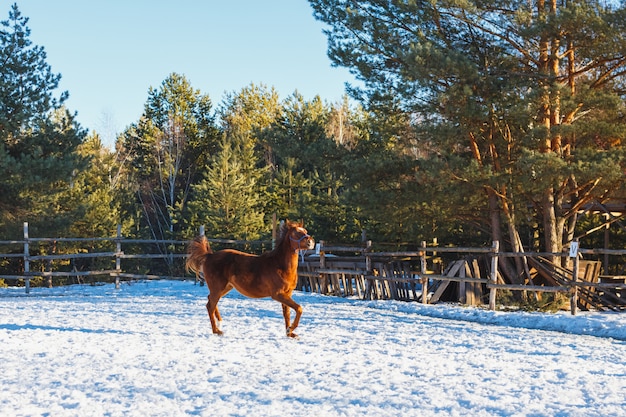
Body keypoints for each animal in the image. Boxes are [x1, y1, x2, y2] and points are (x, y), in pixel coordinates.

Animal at [184, 219, 312, 336]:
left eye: (305, 231)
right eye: (296, 233)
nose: (310, 241)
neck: (280, 265)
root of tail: (209, 256)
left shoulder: (287, 294)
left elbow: (287, 313)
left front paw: (289, 333)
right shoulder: (278, 294)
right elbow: (299, 308)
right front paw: (290, 329)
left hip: (225, 287)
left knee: (210, 301)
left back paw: (220, 322)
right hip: (217, 288)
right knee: (210, 305)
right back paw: (216, 330)